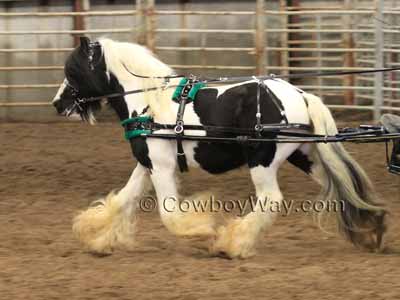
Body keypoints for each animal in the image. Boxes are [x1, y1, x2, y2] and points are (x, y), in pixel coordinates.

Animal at [52, 37, 384, 258]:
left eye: (72, 71)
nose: (57, 103)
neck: (148, 102)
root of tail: (300, 95)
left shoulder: (161, 167)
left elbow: (169, 214)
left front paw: (205, 229)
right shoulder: (147, 165)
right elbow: (124, 200)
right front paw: (97, 237)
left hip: (262, 161)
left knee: (271, 199)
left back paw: (233, 243)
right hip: (307, 156)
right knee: (340, 184)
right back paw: (370, 230)